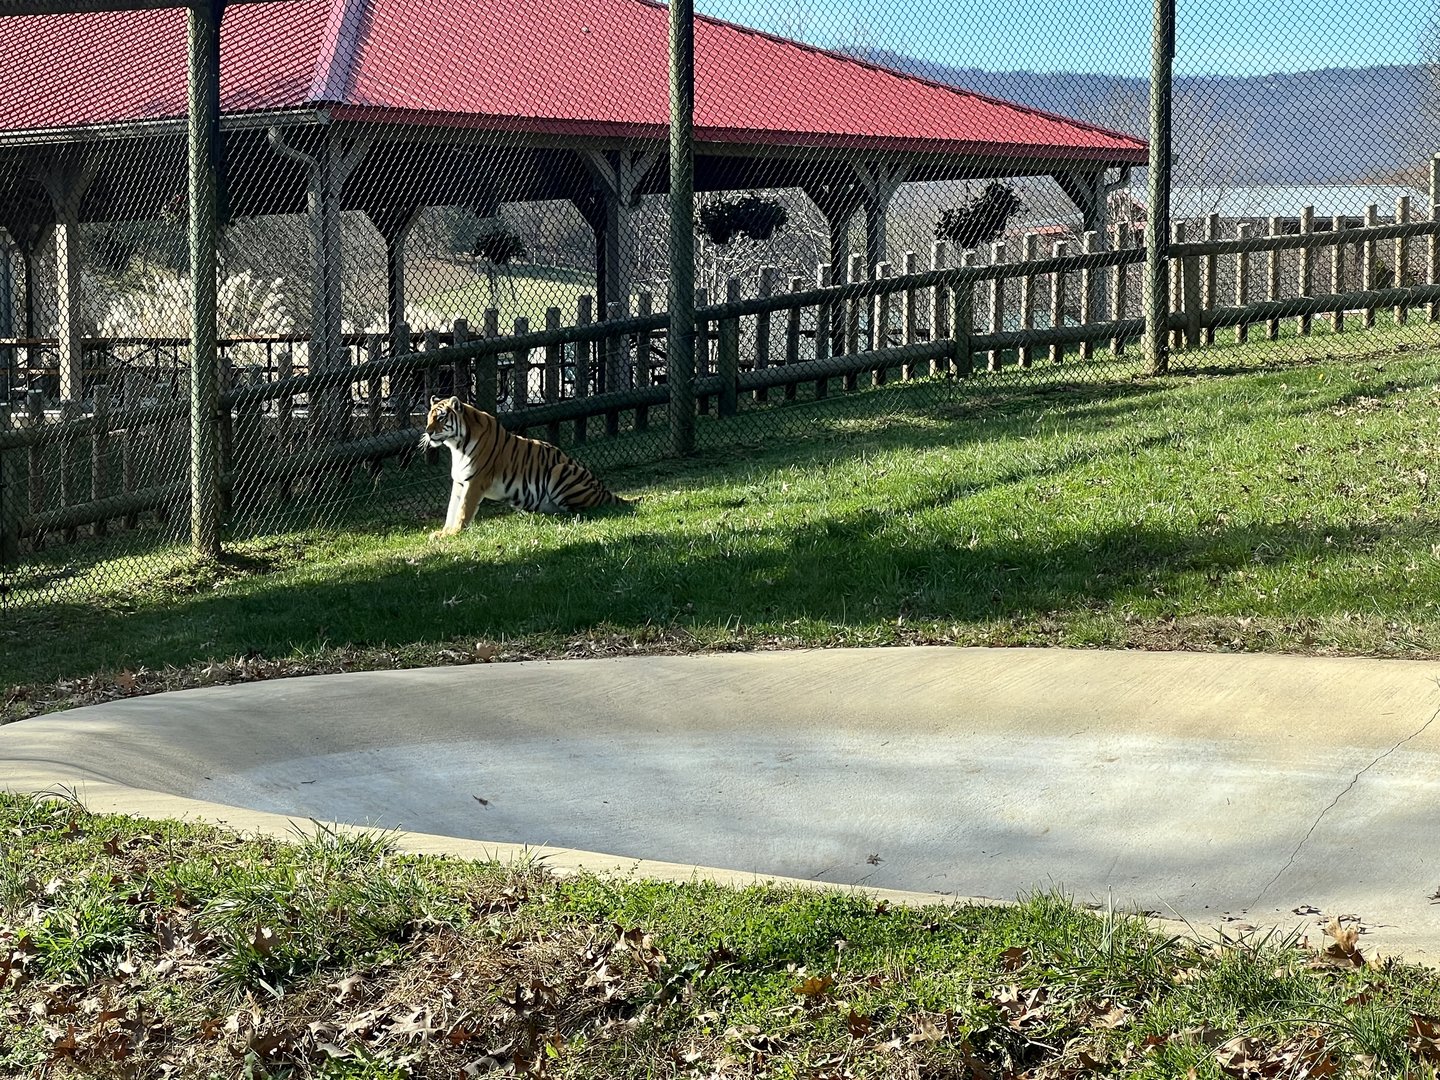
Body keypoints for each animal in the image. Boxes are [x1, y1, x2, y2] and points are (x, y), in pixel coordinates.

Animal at [420, 397, 629, 537]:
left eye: (441, 418)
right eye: (428, 418)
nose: (428, 432)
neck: (457, 446)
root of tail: (605, 490)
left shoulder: (475, 481)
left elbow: (463, 509)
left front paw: (454, 533)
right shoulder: (460, 482)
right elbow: (452, 509)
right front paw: (444, 532)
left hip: (558, 471)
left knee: (584, 510)